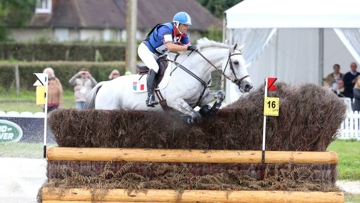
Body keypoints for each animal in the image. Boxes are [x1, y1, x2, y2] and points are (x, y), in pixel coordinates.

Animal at [84, 38, 253, 123]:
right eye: (236, 62)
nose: (248, 86)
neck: (194, 69)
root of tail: (104, 85)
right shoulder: (175, 101)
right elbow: (194, 115)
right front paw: (191, 118)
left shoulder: (201, 97)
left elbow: (219, 94)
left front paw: (210, 110)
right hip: (107, 109)